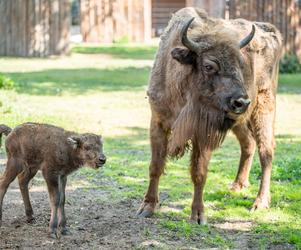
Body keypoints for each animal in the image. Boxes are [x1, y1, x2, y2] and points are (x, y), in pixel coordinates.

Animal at [137, 7, 282, 224]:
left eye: (240, 64)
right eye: (209, 66)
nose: (241, 102)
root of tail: (269, 31)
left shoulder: (203, 132)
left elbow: (199, 173)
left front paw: (198, 215)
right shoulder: (158, 122)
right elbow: (155, 166)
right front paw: (147, 207)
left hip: (264, 107)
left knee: (266, 152)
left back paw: (260, 203)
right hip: (239, 120)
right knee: (248, 143)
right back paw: (237, 185)